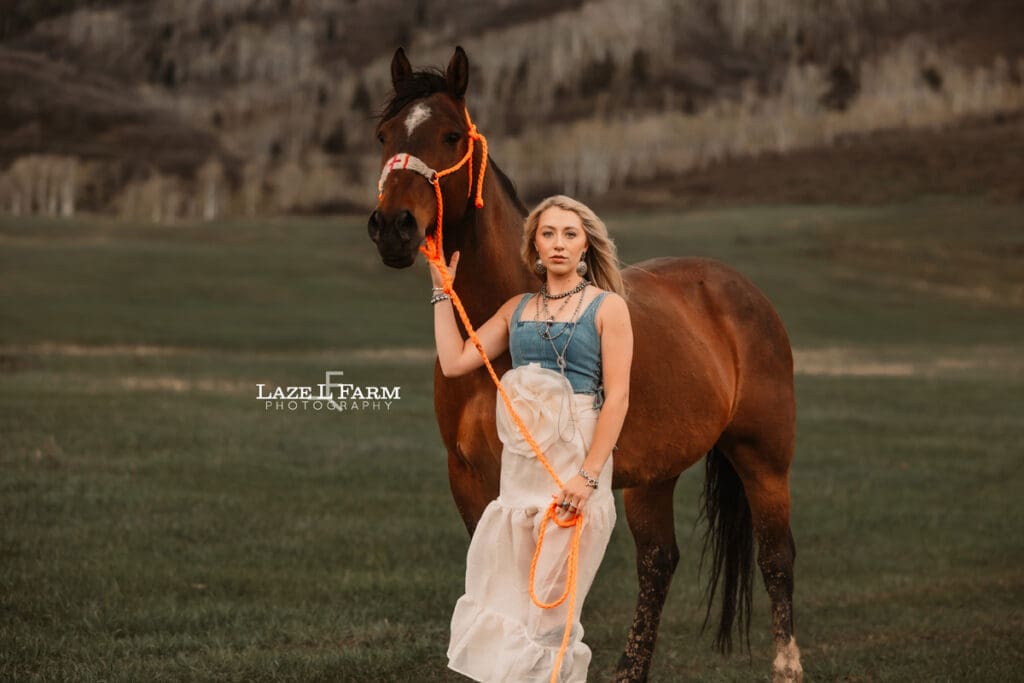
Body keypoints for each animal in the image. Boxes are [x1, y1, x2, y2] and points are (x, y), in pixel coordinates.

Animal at [367, 46, 803, 683]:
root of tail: (738, 288)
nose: (393, 227)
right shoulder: (469, 478)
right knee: (658, 561)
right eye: (384, 135)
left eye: (450, 135)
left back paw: (787, 665)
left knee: (775, 556)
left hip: (763, 458)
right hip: (654, 475)